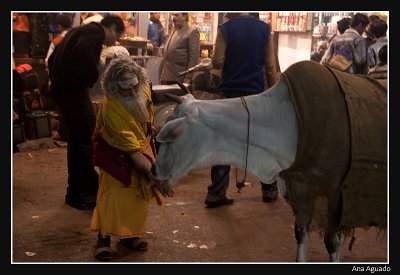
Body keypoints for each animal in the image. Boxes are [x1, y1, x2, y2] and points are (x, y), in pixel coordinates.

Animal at [151, 61, 388, 264]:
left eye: (171, 134)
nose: (154, 170)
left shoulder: (338, 196)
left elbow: (332, 243)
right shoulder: (301, 189)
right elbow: (300, 234)